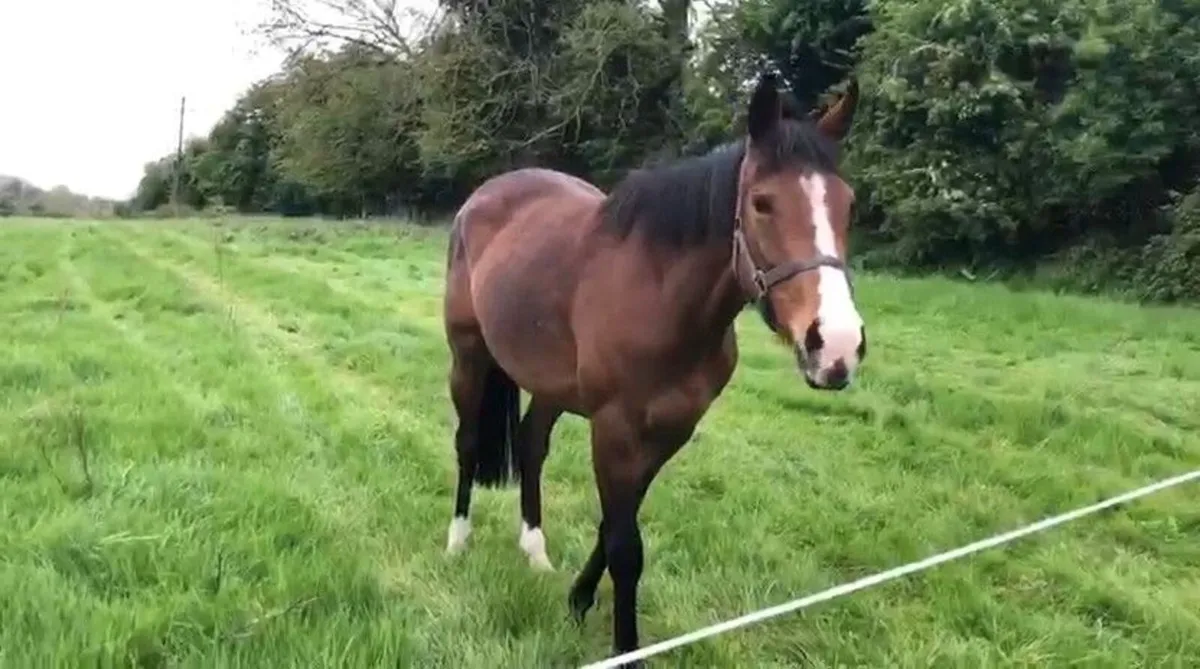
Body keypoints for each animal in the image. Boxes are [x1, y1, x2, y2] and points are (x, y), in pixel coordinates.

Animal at [440, 72, 866, 665]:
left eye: (849, 206)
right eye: (762, 203)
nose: (837, 346)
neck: (664, 298)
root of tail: (483, 197)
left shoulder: (670, 431)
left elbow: (614, 525)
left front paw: (577, 599)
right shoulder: (614, 429)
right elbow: (626, 548)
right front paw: (624, 645)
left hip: (549, 385)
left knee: (530, 446)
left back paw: (535, 552)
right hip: (469, 356)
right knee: (467, 443)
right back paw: (457, 542)